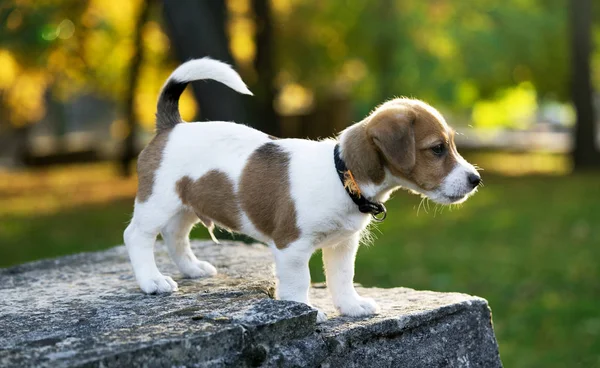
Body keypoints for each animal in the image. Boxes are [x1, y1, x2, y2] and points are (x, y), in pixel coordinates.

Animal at [124, 57, 480, 322]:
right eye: (437, 149)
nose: (476, 179)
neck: (342, 175)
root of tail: (172, 127)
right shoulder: (291, 248)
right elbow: (300, 284)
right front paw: (306, 311)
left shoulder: (342, 245)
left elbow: (342, 278)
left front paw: (351, 306)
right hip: (157, 201)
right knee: (137, 236)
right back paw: (152, 281)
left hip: (187, 204)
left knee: (175, 235)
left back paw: (192, 268)